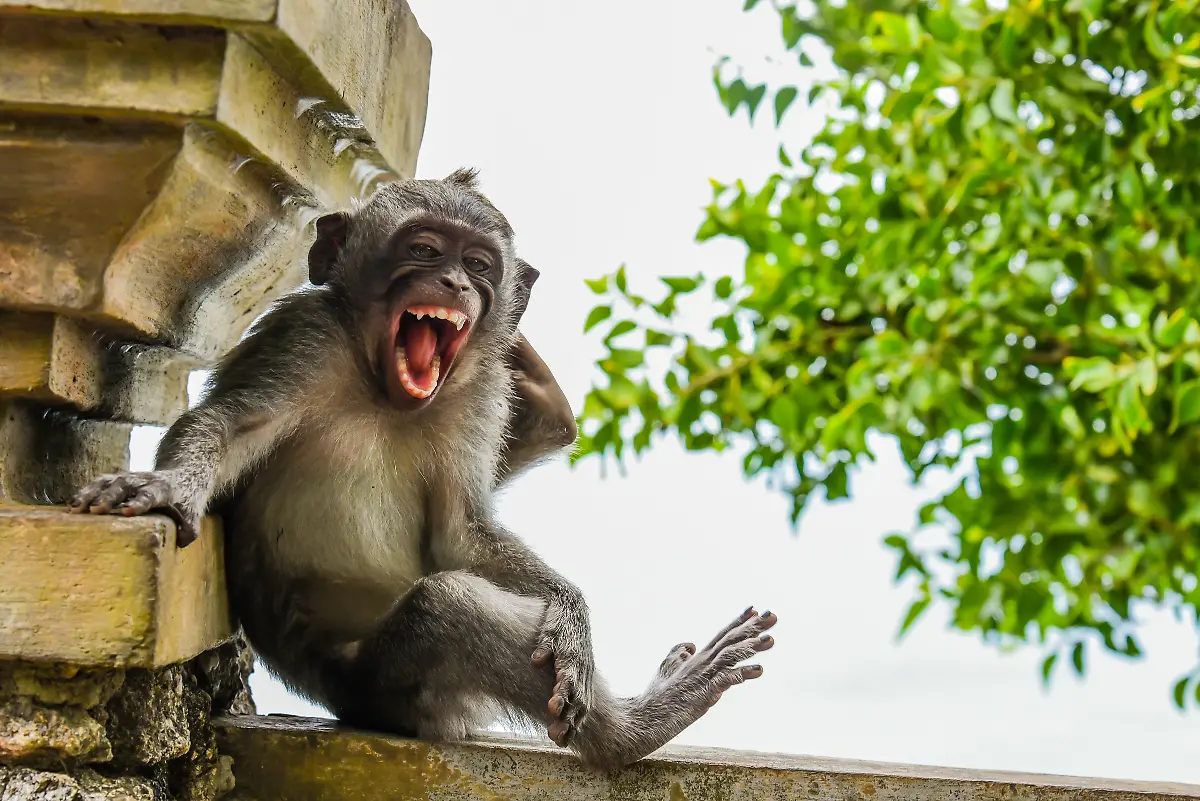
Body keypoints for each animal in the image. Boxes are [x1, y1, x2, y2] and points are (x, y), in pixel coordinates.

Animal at [70, 169, 777, 770]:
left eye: (479, 265)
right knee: (444, 607)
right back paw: (637, 730)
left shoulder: (483, 392)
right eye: (424, 250)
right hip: (382, 689)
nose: (455, 285)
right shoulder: (305, 336)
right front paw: (164, 488)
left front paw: (571, 615)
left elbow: (460, 531)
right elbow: (229, 426)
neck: (381, 387)